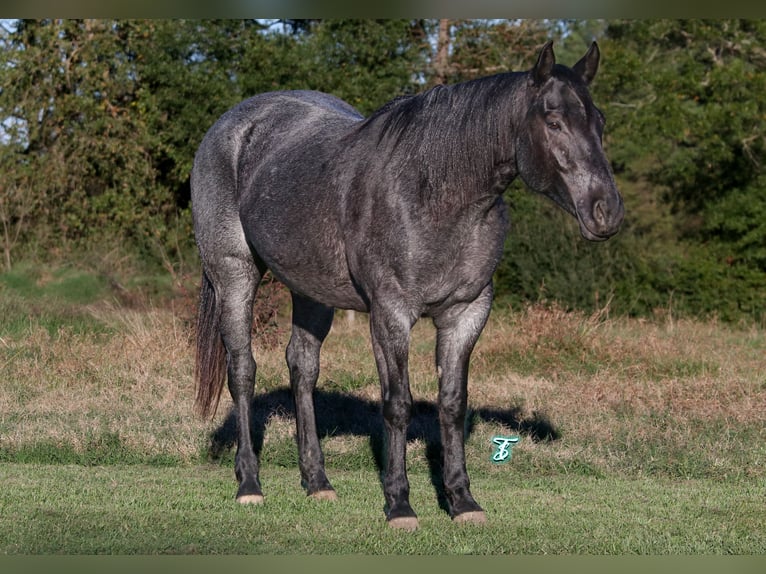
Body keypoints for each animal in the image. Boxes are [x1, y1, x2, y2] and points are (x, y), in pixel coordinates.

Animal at [190, 42, 624, 532]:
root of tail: (233, 124)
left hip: (311, 290)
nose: (607, 212)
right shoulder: (391, 314)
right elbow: (397, 403)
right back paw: (249, 484)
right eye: (553, 121)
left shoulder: (466, 314)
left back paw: (318, 482)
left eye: (599, 121)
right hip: (234, 274)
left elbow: (452, 404)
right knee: (243, 371)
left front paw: (462, 501)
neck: (434, 192)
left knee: (302, 369)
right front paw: (399, 504)